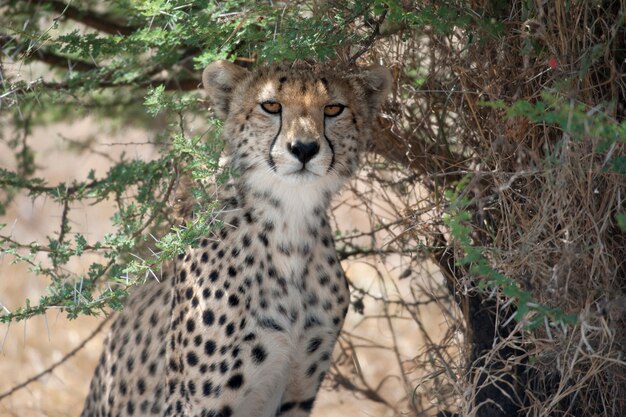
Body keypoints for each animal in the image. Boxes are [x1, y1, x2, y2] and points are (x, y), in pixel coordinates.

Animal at [79, 59, 390, 416]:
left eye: (334, 108)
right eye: (271, 106)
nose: (304, 148)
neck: (290, 228)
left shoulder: (296, 397)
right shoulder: (196, 404)